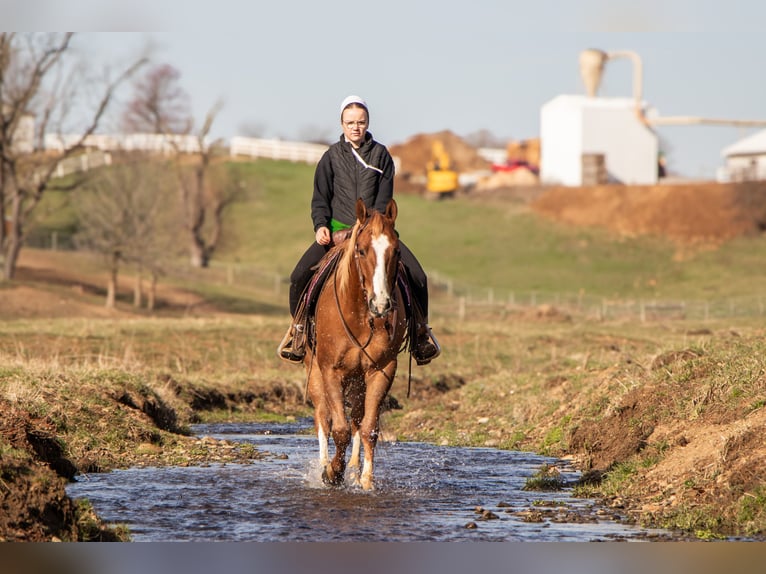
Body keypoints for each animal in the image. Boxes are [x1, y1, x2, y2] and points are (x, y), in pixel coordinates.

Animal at [306, 198, 412, 490]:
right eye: (361, 250)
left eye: (396, 251)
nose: (381, 304)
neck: (360, 315)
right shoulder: (331, 370)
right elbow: (339, 429)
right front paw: (332, 473)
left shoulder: (381, 370)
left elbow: (367, 428)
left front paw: (365, 480)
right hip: (315, 371)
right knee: (323, 416)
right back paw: (324, 464)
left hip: (357, 379)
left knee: (355, 418)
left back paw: (353, 468)